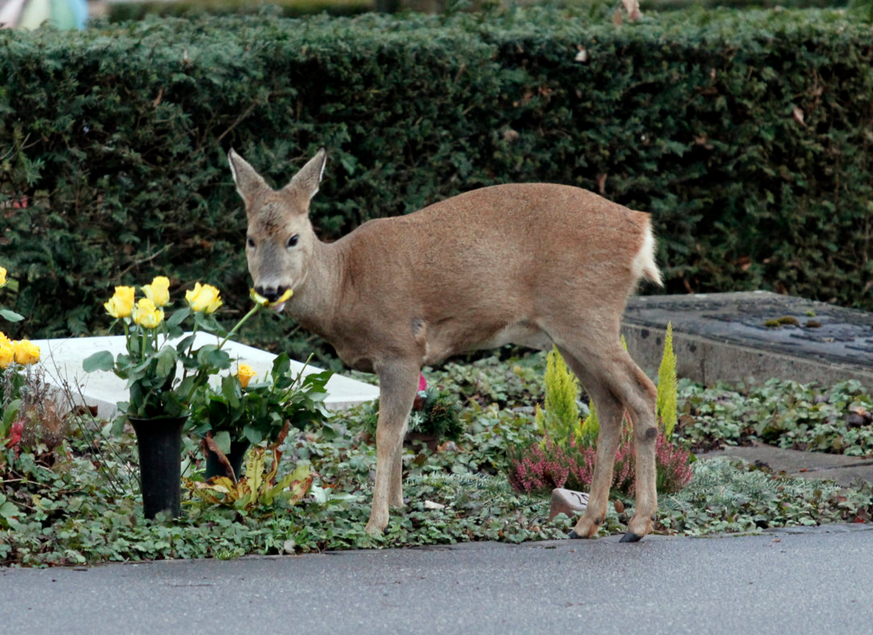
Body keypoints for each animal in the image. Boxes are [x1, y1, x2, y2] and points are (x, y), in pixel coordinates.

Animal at [228, 148, 664, 540]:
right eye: (250, 239)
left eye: (293, 238)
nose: (269, 290)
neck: (344, 286)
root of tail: (641, 230)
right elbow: (402, 429)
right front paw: (399, 504)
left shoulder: (401, 347)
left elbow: (386, 433)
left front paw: (376, 522)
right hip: (570, 332)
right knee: (610, 406)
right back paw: (586, 523)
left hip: (587, 314)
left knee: (642, 392)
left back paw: (637, 525)